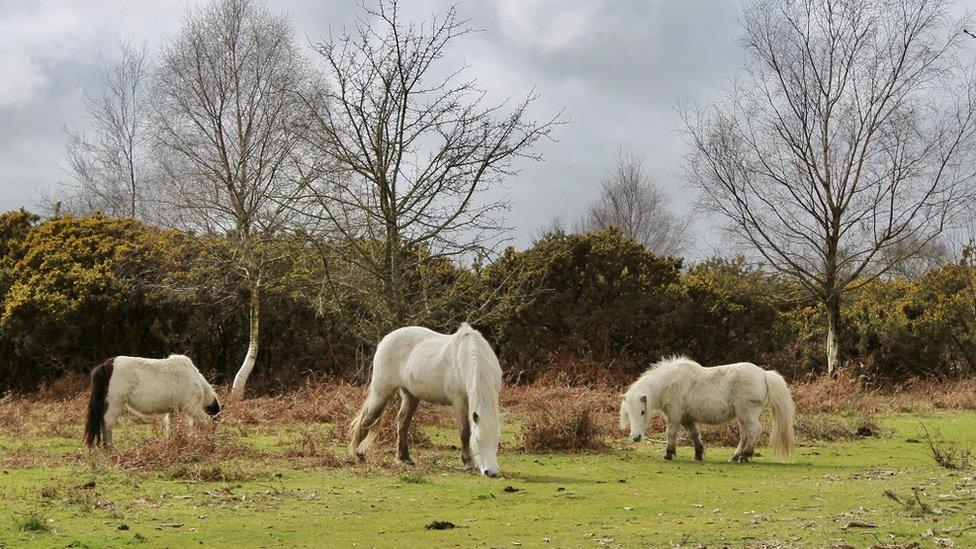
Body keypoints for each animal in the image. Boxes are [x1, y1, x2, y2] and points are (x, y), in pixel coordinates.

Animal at [83, 354, 221, 448]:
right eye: (215, 426)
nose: (210, 442)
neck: (195, 380)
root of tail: (106, 365)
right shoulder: (193, 407)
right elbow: (206, 422)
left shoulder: (174, 410)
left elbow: (171, 427)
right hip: (115, 404)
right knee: (107, 423)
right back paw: (110, 449)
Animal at [350, 322, 504, 476]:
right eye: (478, 440)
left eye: (497, 440)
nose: (491, 472)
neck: (470, 355)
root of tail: (386, 339)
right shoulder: (460, 401)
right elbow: (465, 432)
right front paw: (468, 462)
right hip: (382, 391)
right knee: (368, 418)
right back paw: (358, 455)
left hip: (411, 396)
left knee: (402, 422)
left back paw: (404, 458)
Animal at [624, 358, 792, 460]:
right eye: (629, 414)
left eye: (642, 412)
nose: (635, 437)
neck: (670, 382)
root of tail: (764, 374)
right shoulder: (685, 418)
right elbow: (693, 434)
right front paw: (698, 454)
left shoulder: (674, 417)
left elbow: (670, 433)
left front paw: (668, 454)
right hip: (743, 416)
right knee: (746, 433)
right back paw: (735, 456)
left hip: (747, 414)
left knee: (754, 431)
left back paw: (745, 455)